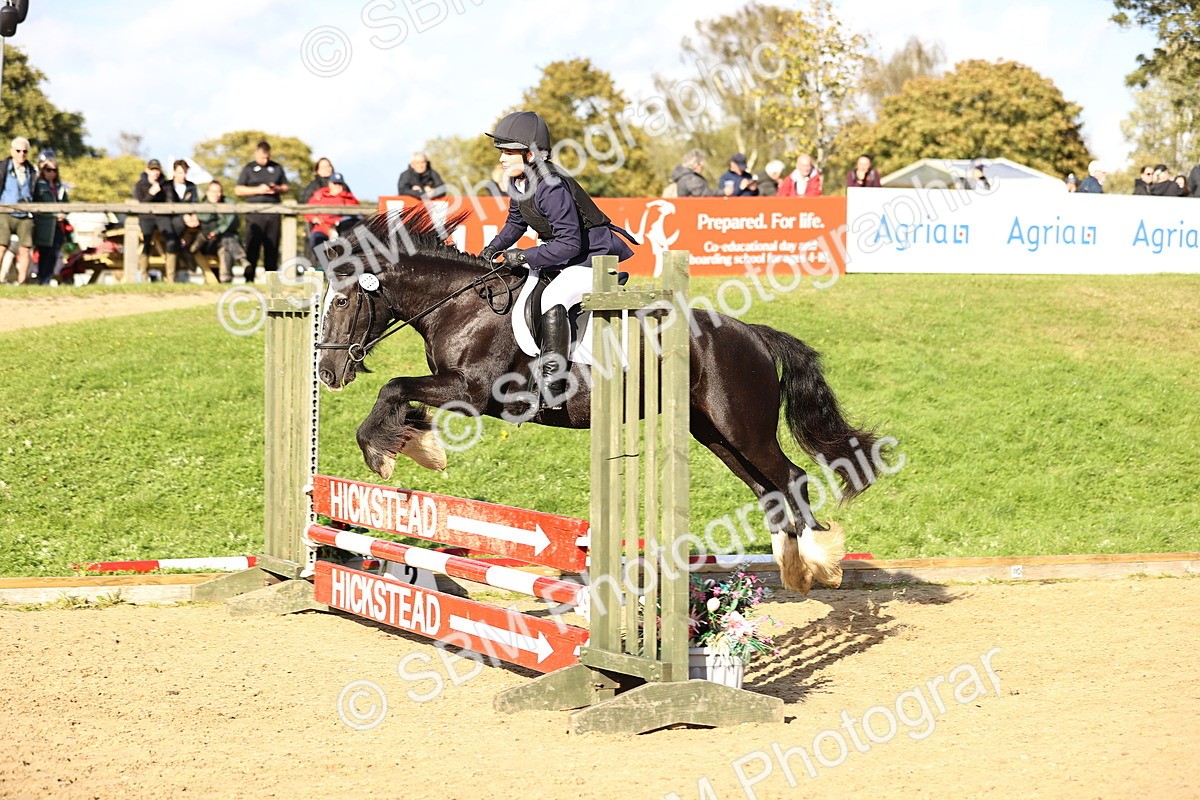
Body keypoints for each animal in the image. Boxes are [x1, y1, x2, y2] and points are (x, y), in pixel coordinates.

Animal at [314, 205, 886, 594]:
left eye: (341, 302)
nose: (328, 372)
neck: (462, 306)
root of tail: (753, 334)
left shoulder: (476, 394)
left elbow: (392, 387)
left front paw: (385, 455)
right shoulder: (452, 387)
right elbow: (400, 396)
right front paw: (412, 444)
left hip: (743, 428)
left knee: (792, 478)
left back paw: (820, 564)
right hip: (715, 434)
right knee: (769, 490)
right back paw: (795, 567)